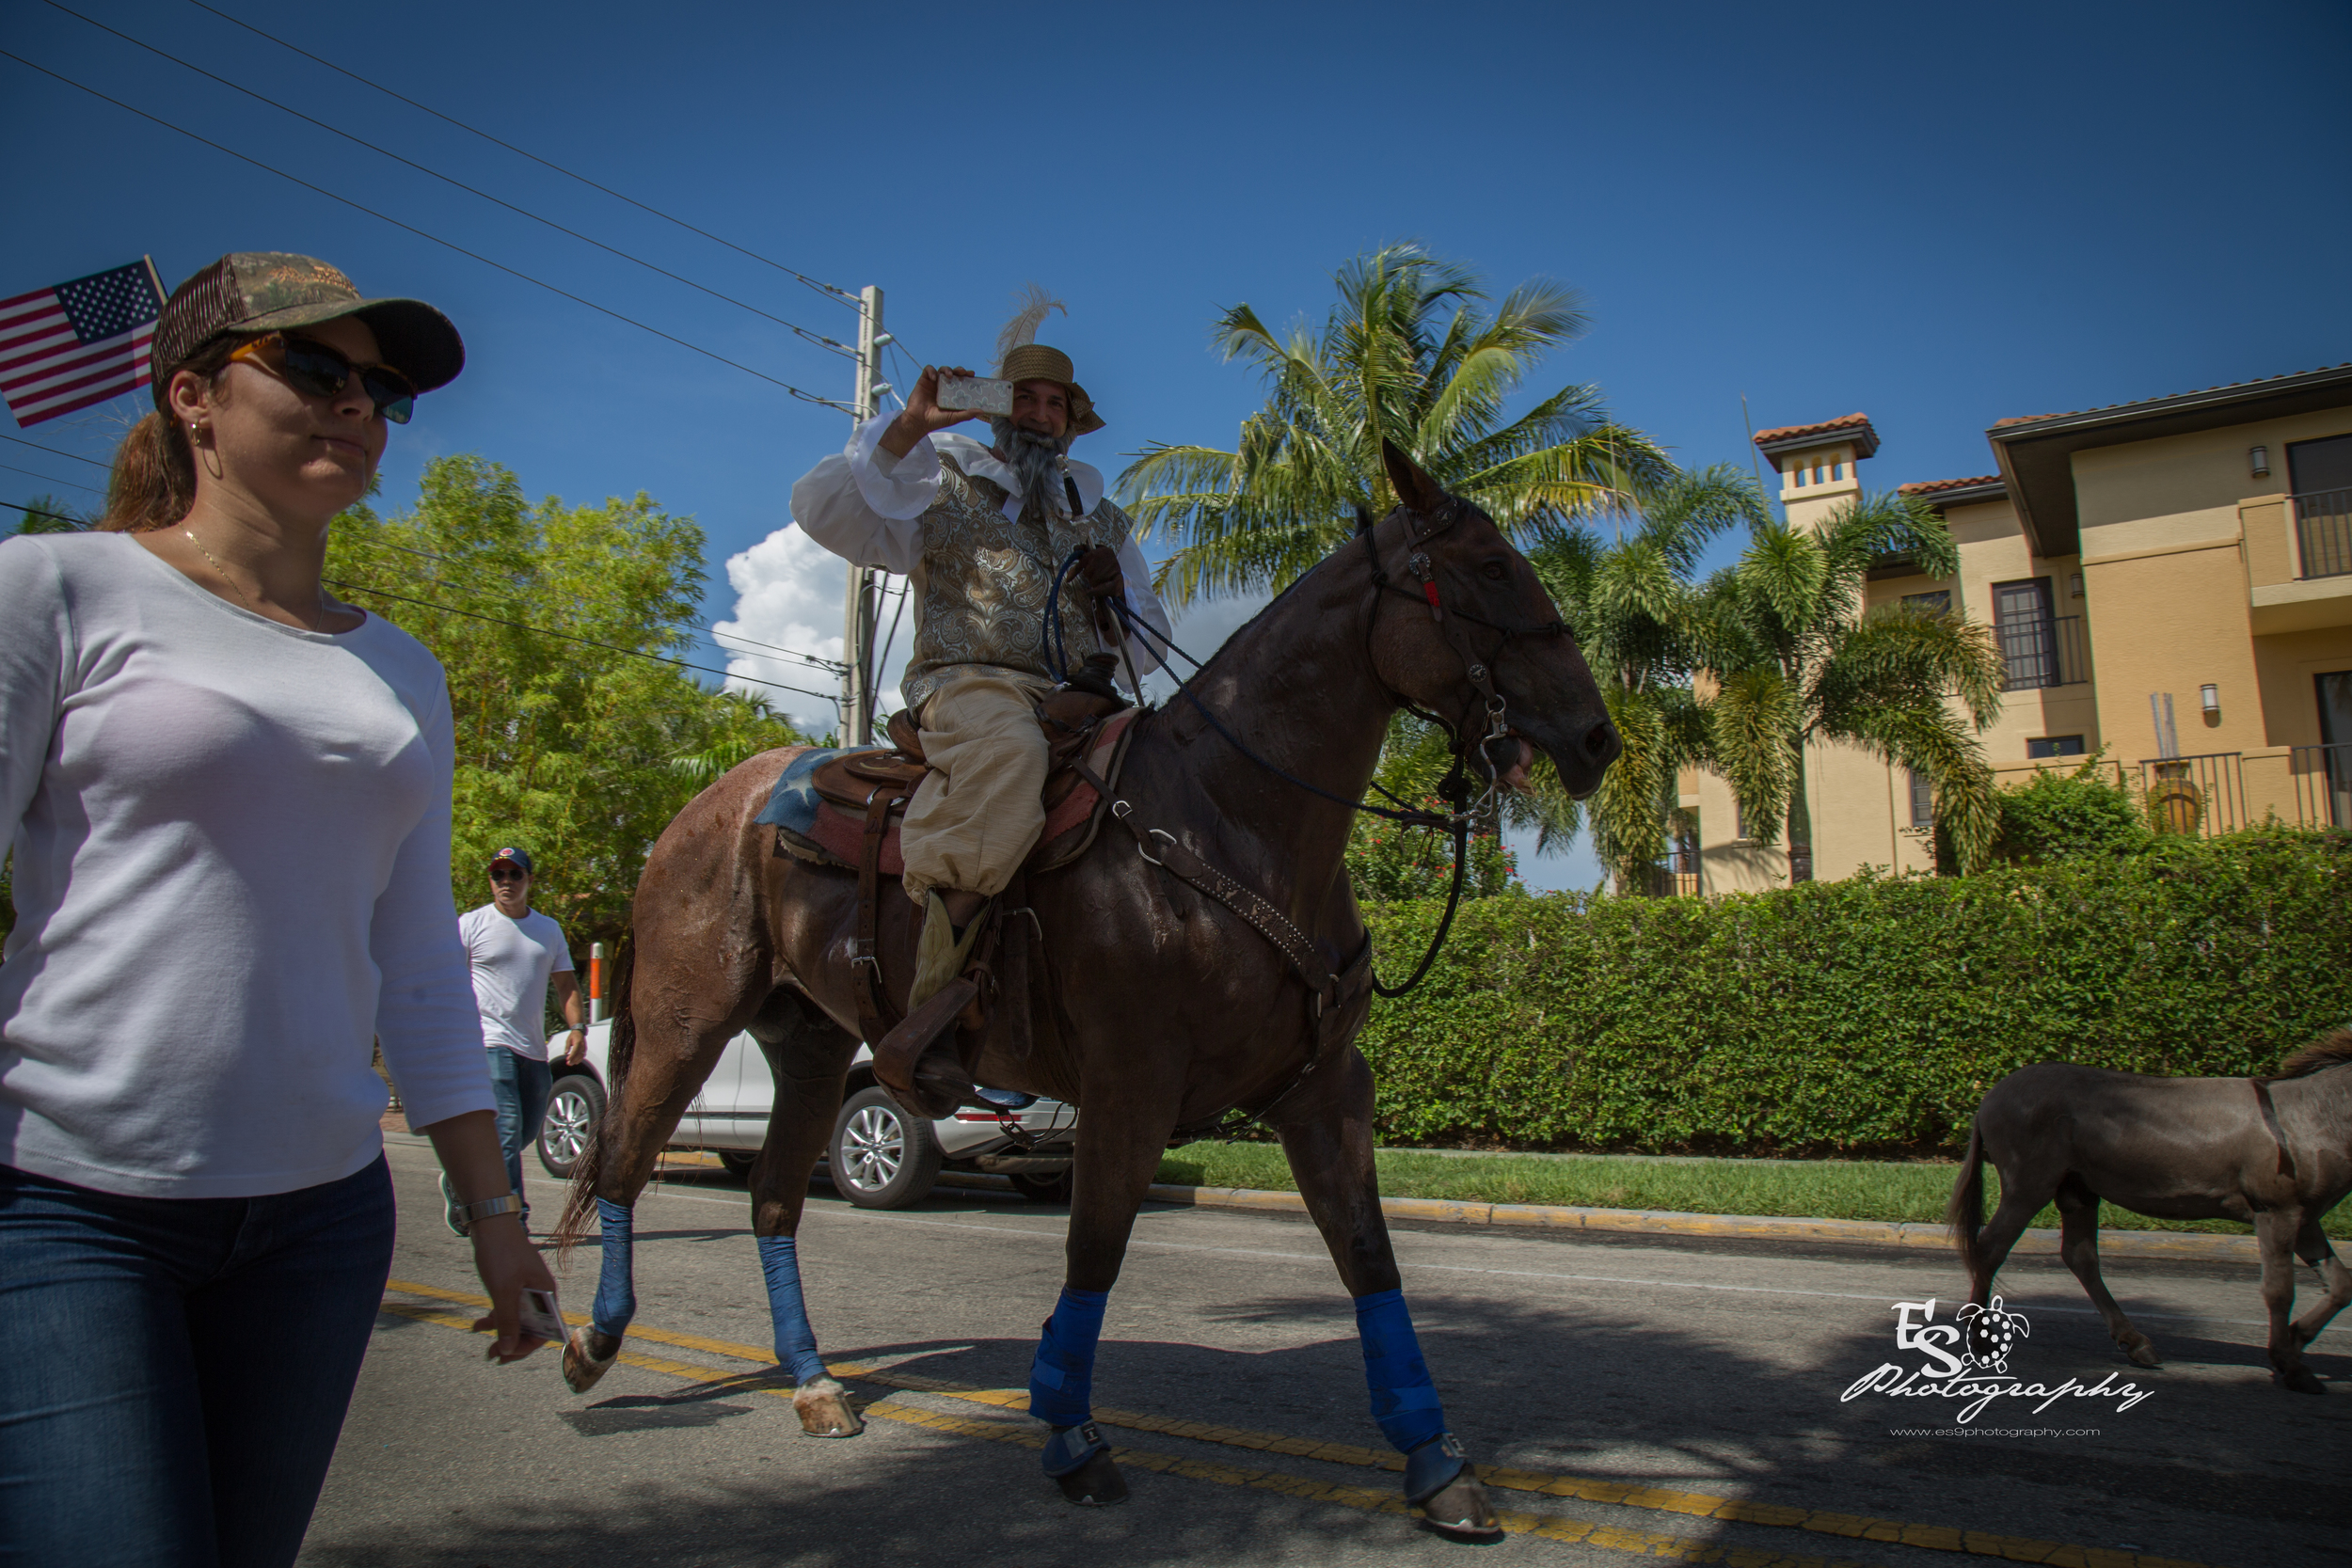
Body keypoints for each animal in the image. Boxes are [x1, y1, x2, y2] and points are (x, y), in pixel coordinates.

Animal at [555, 444, 1618, 1532]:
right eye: (1490, 566)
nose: (1596, 738)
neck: (1232, 816)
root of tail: (701, 809)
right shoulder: (1130, 1085)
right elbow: (1094, 1252)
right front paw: (1070, 1433)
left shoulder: (1325, 1091)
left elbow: (1368, 1255)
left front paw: (1436, 1461)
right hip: (685, 1022)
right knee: (621, 1161)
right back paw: (591, 1341)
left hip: (808, 1045)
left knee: (772, 1199)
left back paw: (813, 1384)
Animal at [1947, 1034, 2352, 1391]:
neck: (2312, 1117)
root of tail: (1993, 1093)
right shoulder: (2276, 1212)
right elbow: (2280, 1290)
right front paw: (2291, 1364)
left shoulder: (2304, 1218)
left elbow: (2340, 1285)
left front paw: (2296, 1342)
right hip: (2028, 1187)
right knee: (1991, 1248)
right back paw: (1980, 1337)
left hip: (2077, 1189)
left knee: (2079, 1256)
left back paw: (2135, 1342)